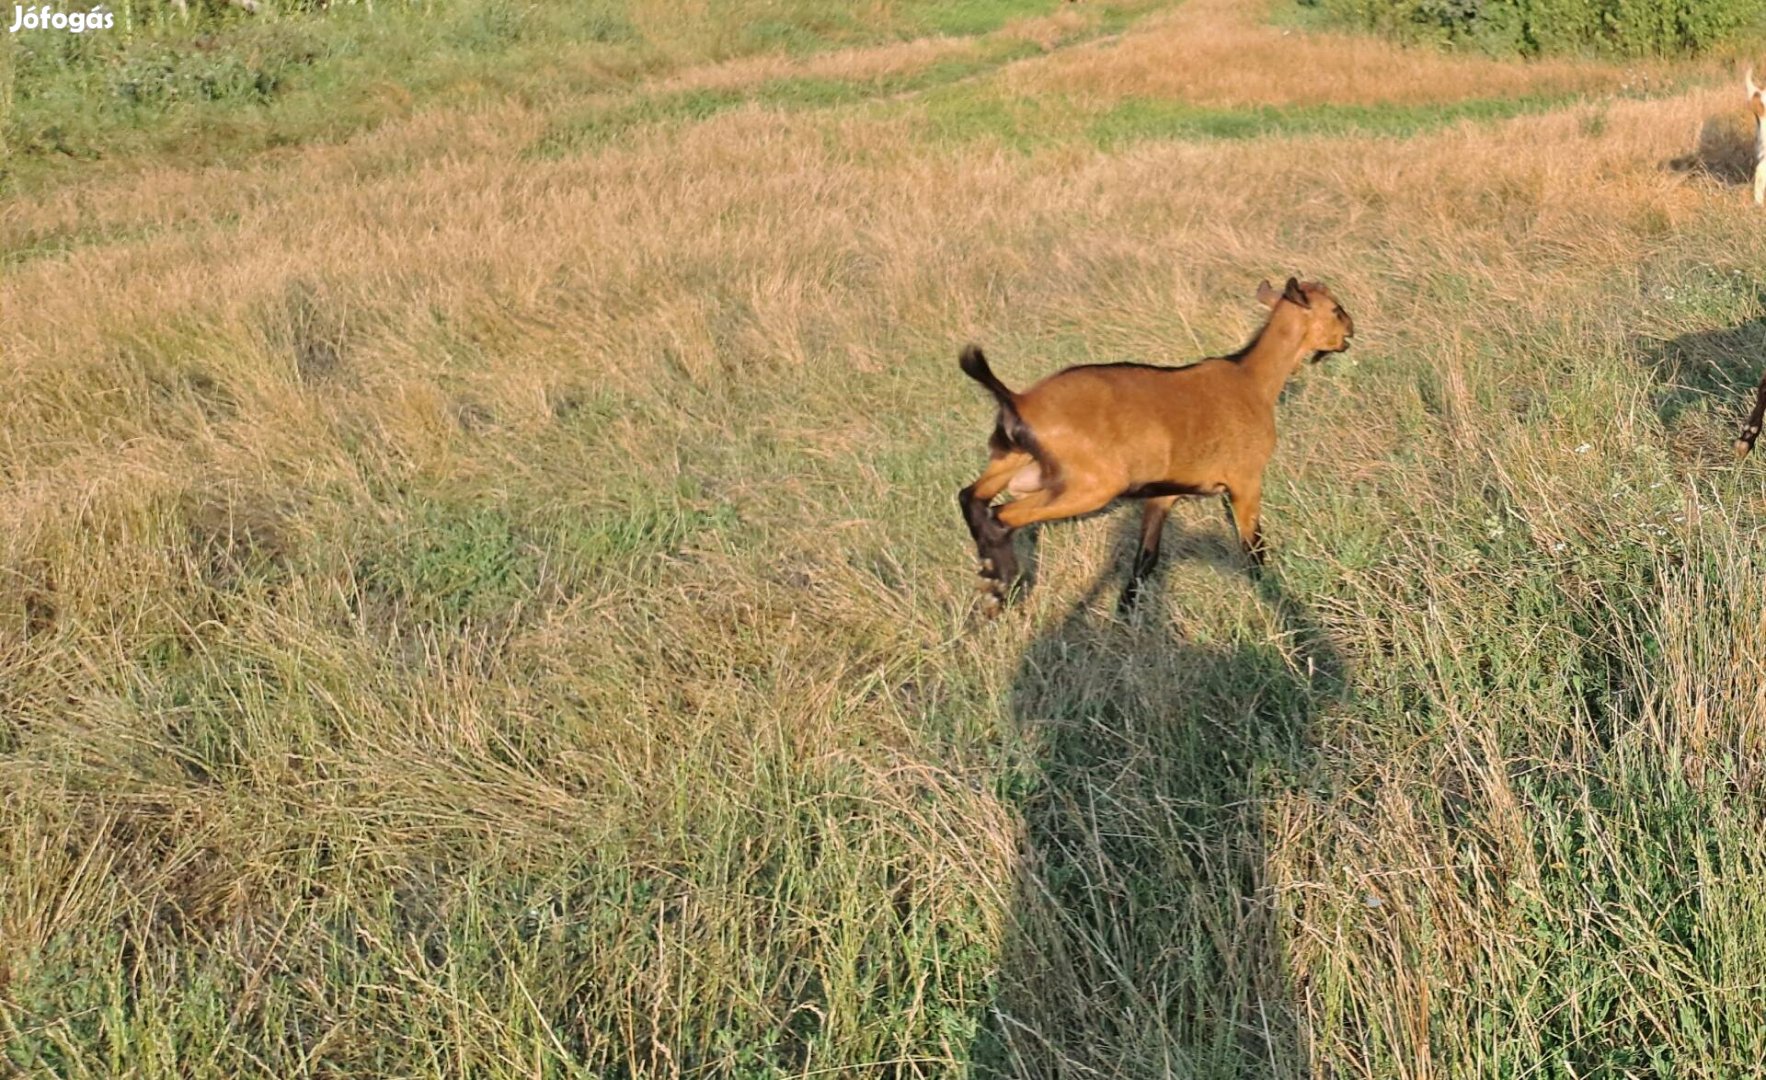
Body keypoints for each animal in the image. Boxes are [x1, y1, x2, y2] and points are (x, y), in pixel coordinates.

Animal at [953, 273, 1349, 610]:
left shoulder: (1164, 492)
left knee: (971, 496)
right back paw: (999, 585)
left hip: (1012, 460)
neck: (1251, 379)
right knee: (1002, 515)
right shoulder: (1246, 480)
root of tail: (1019, 401)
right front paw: (1269, 593)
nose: (1350, 330)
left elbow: (1145, 557)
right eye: (1334, 308)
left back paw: (989, 577)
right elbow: (1253, 547)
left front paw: (1126, 612)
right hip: (1092, 485)